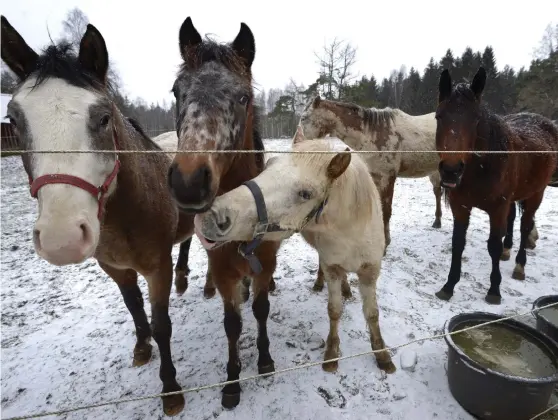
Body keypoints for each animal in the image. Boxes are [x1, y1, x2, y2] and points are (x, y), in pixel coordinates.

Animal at [0, 17, 192, 416]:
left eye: (103, 118)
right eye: (14, 119)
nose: (61, 239)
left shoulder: (157, 268)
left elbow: (162, 323)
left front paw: (170, 389)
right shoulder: (114, 268)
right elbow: (134, 308)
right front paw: (141, 346)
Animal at [165, 18, 280, 408]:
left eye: (243, 97)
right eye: (176, 92)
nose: (188, 182)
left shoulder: (265, 260)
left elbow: (261, 310)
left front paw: (265, 360)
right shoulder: (224, 268)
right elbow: (232, 323)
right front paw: (232, 382)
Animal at [195, 127, 396, 374]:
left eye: (305, 194)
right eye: (268, 166)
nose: (211, 216)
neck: (349, 232)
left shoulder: (370, 271)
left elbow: (372, 313)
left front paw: (382, 354)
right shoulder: (332, 267)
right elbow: (334, 310)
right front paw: (331, 353)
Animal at [438, 66, 558, 306]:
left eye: (475, 119)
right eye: (439, 116)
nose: (451, 171)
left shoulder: (497, 208)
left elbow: (493, 244)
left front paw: (494, 290)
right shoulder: (460, 207)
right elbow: (458, 243)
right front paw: (449, 285)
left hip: (536, 195)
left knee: (525, 226)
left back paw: (519, 266)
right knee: (512, 221)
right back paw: (507, 250)